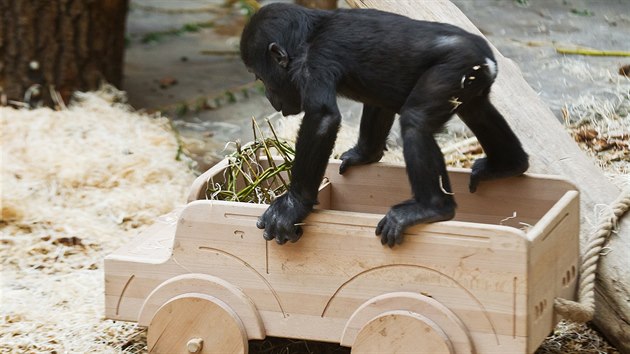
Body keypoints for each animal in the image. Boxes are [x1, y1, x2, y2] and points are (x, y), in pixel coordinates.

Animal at [239, 3, 532, 246]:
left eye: (260, 77)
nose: (269, 96)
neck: (306, 38)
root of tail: (486, 56)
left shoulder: (314, 63)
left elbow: (323, 118)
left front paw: (292, 206)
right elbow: (378, 101)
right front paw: (363, 155)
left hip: (455, 68)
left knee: (416, 122)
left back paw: (431, 208)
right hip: (471, 79)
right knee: (477, 112)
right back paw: (507, 164)